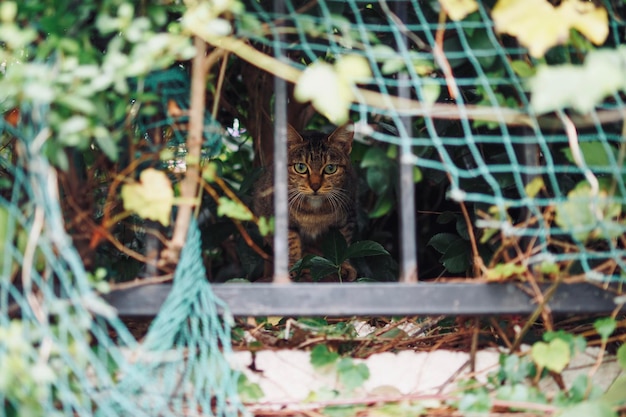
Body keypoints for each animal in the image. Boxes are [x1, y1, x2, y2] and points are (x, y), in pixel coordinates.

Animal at [254, 123, 356, 280]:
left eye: (330, 168)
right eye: (300, 167)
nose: (315, 186)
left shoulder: (348, 216)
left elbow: (344, 241)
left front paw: (343, 266)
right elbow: (290, 242)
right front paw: (293, 266)